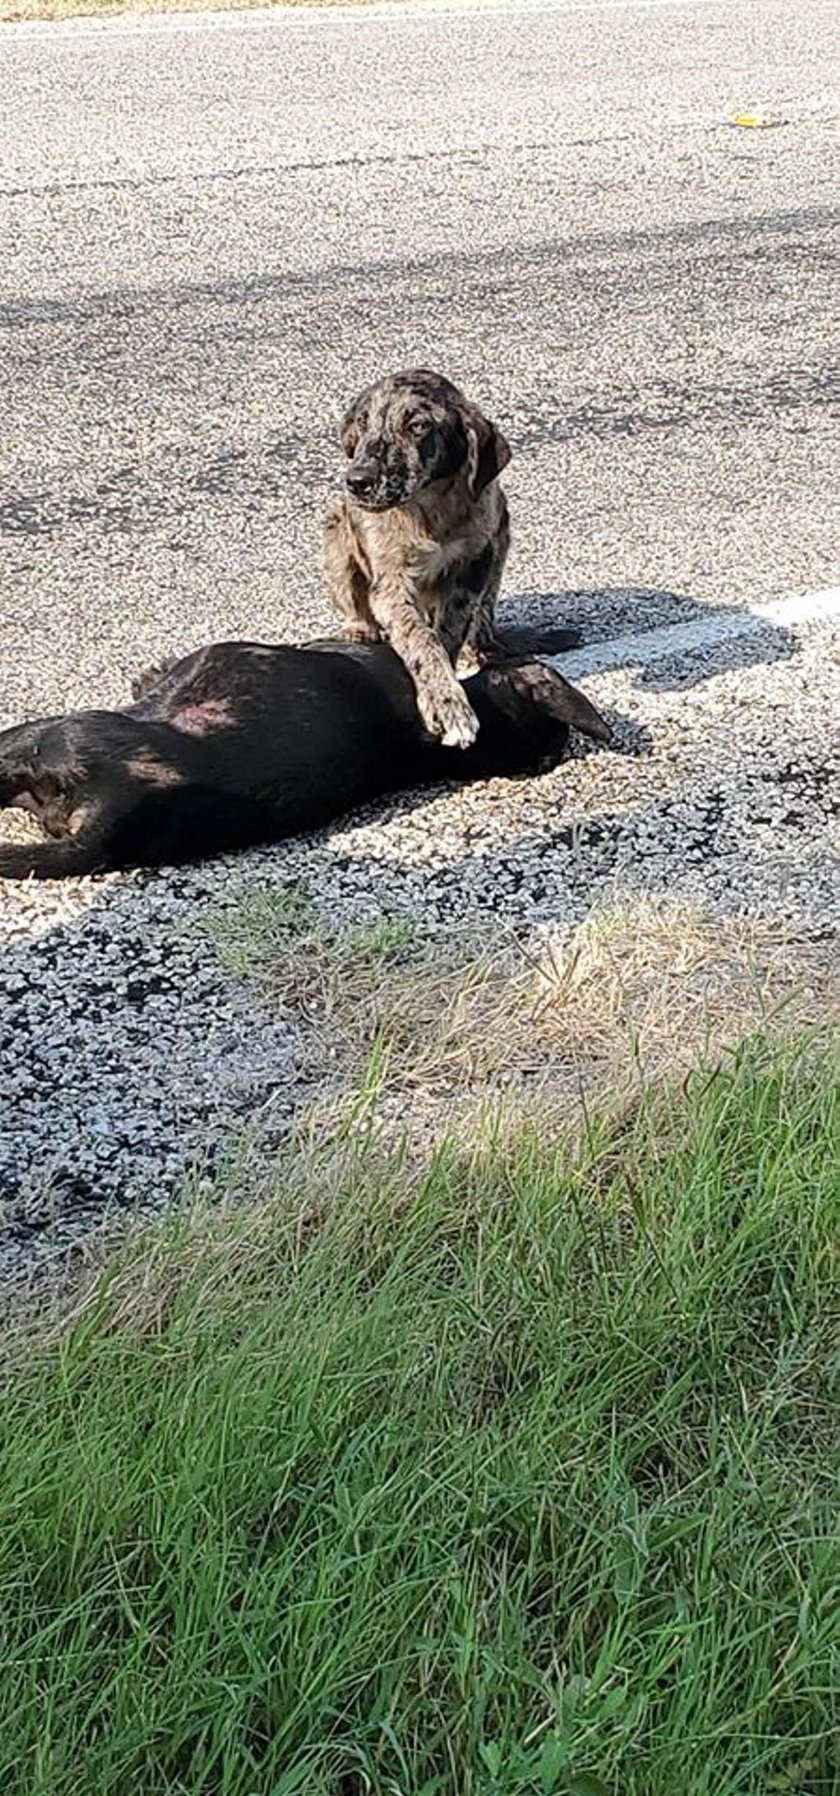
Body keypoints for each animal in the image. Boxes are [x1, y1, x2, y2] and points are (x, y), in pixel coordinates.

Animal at [323, 371, 516, 750]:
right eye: (363, 422)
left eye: (418, 426)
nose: (357, 481)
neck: (429, 507)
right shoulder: (390, 584)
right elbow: (420, 639)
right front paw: (446, 704)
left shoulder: (474, 564)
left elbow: (448, 631)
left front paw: (443, 697)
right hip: (336, 534)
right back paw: (359, 630)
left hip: (502, 533)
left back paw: (480, 644)